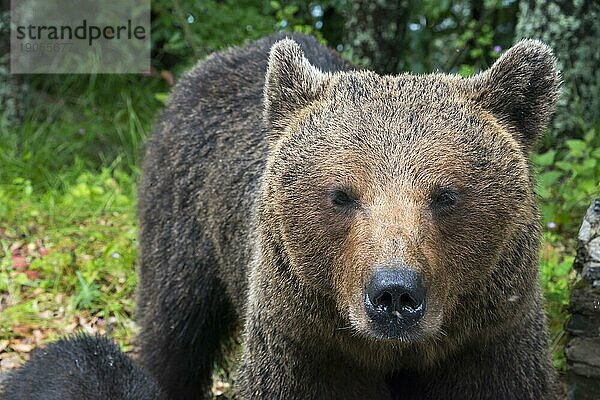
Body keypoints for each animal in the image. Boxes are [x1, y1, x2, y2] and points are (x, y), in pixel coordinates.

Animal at [135, 32, 556, 398]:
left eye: (445, 195)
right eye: (342, 194)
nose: (394, 293)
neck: (394, 352)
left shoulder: (489, 342)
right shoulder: (305, 346)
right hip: (182, 215)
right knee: (174, 327)